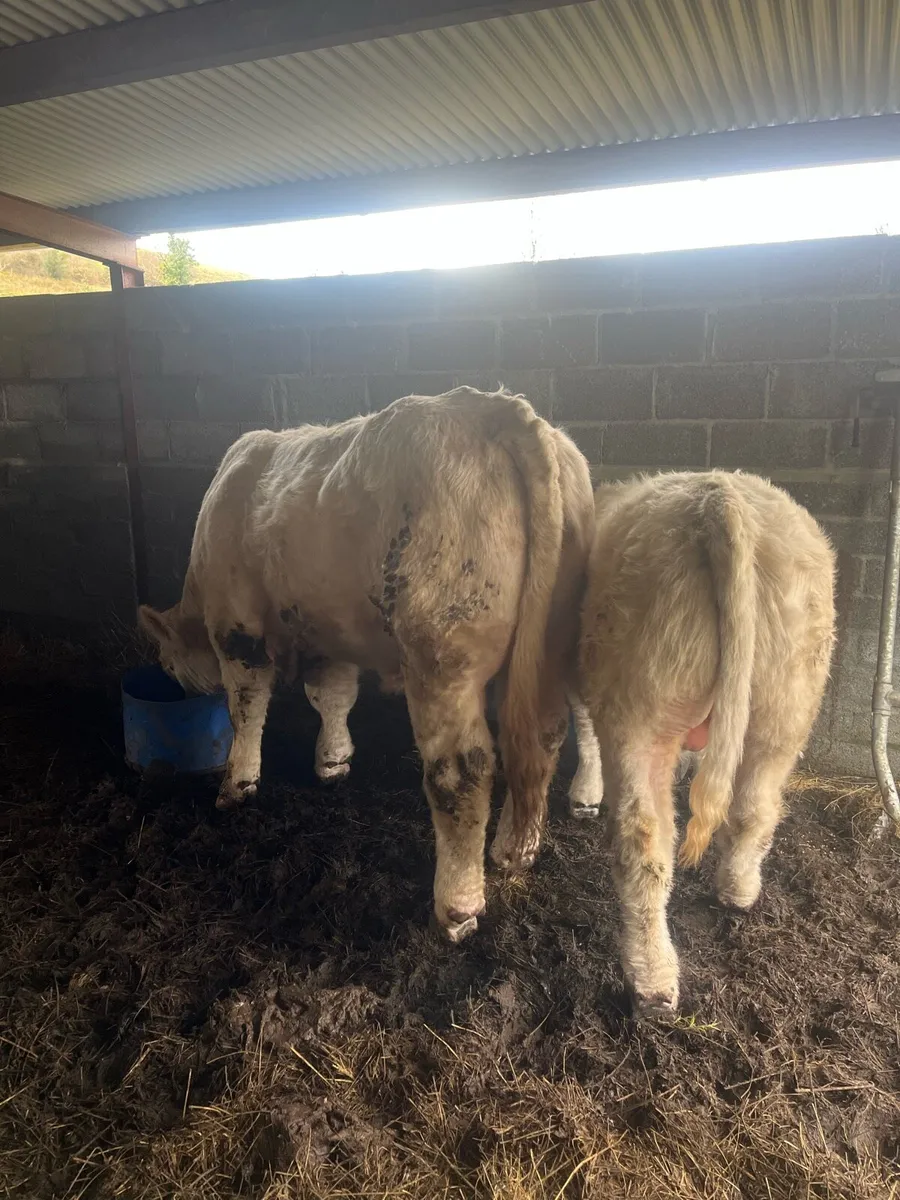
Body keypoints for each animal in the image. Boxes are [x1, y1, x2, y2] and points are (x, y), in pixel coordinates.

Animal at [137, 387, 599, 942]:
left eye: (169, 662)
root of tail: (494, 407)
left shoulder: (238, 626)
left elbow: (247, 706)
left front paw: (236, 785)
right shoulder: (326, 630)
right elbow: (332, 694)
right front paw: (333, 761)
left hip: (441, 656)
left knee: (461, 772)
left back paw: (457, 907)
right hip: (559, 642)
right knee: (548, 736)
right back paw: (517, 848)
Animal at [575, 470, 835, 1017]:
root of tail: (719, 497)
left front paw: (585, 793)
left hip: (643, 700)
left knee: (643, 835)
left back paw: (651, 982)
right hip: (787, 700)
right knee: (755, 805)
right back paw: (737, 892)